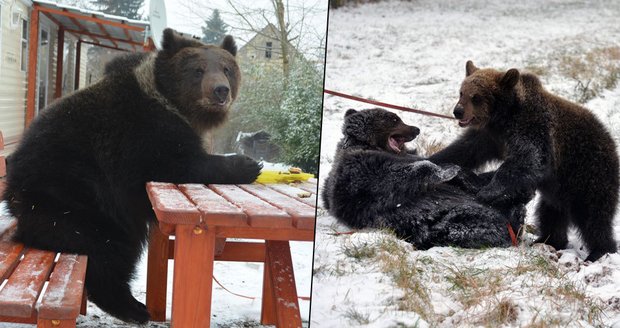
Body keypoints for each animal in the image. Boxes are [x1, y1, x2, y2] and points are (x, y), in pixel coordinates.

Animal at [3, 28, 260, 322]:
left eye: (227, 69)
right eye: (198, 70)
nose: (220, 90)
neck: (174, 105)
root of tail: (13, 195)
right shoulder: (140, 134)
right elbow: (179, 163)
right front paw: (248, 164)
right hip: (70, 196)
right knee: (109, 246)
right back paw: (132, 307)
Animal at [322, 107, 524, 249]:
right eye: (394, 118)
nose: (416, 129)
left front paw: (461, 174)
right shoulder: (359, 172)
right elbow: (394, 176)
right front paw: (447, 170)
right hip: (437, 220)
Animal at [432, 60, 620, 262]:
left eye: (476, 97)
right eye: (462, 92)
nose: (457, 111)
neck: (503, 118)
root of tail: (612, 145)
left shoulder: (532, 127)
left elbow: (527, 159)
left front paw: (487, 191)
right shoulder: (489, 137)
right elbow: (464, 150)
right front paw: (433, 159)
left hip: (588, 173)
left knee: (593, 217)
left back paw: (600, 251)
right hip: (557, 191)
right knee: (550, 214)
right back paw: (548, 240)